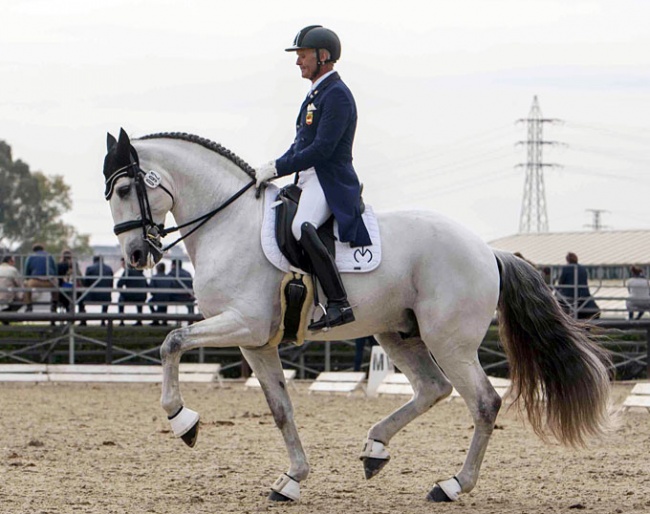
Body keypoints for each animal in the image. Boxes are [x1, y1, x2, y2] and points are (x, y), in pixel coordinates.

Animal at [104, 127, 612, 500]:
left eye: (127, 188)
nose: (135, 255)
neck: (228, 225)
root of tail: (488, 251)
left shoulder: (243, 323)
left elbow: (171, 342)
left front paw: (182, 422)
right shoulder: (255, 342)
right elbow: (280, 409)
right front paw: (291, 479)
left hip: (450, 341)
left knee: (483, 401)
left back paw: (451, 485)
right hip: (398, 333)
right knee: (432, 388)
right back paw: (375, 449)